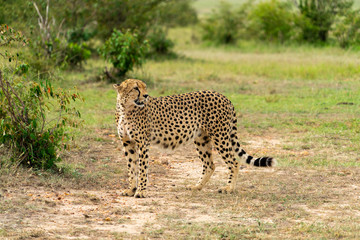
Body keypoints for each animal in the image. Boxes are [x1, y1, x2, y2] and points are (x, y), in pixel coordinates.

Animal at [113, 79, 276, 197]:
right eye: (136, 88)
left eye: (144, 87)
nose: (146, 96)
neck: (125, 109)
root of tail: (222, 95)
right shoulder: (127, 143)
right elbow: (131, 167)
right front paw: (131, 189)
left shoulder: (143, 143)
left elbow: (142, 169)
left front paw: (140, 191)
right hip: (201, 139)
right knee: (210, 165)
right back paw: (197, 186)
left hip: (220, 137)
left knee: (234, 162)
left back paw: (228, 188)